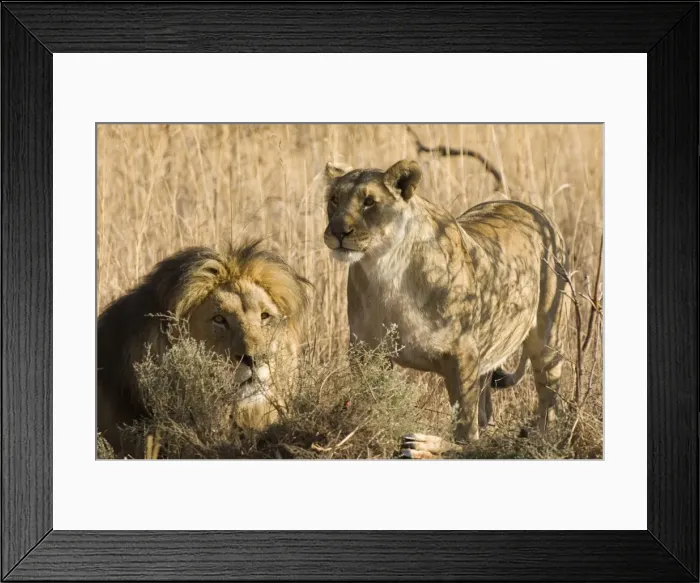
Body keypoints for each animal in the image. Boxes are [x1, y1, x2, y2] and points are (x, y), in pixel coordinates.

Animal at [323, 159, 569, 458]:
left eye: (369, 202)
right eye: (334, 200)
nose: (338, 232)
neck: (385, 269)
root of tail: (533, 208)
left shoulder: (462, 353)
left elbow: (465, 430)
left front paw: (428, 447)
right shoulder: (364, 351)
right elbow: (367, 401)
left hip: (548, 339)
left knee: (547, 403)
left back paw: (540, 440)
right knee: (487, 412)